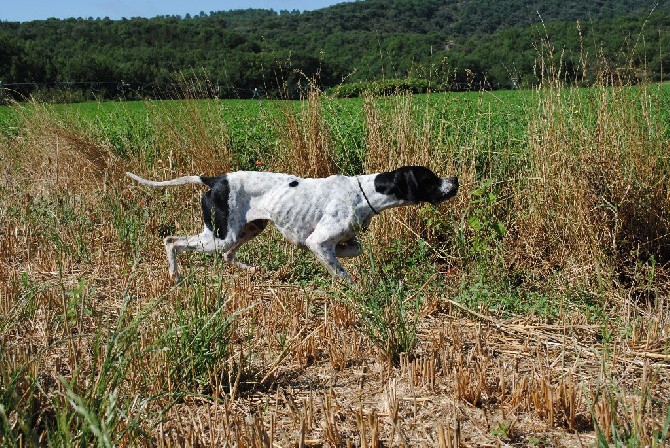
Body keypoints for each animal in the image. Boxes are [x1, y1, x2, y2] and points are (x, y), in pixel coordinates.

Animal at [127, 166, 456, 282]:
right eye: (430, 178)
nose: (455, 180)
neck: (364, 192)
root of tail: (215, 179)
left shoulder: (333, 241)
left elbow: (354, 248)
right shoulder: (318, 241)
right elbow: (342, 272)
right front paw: (355, 290)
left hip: (248, 229)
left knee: (228, 256)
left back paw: (253, 270)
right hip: (219, 236)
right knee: (172, 241)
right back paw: (175, 275)